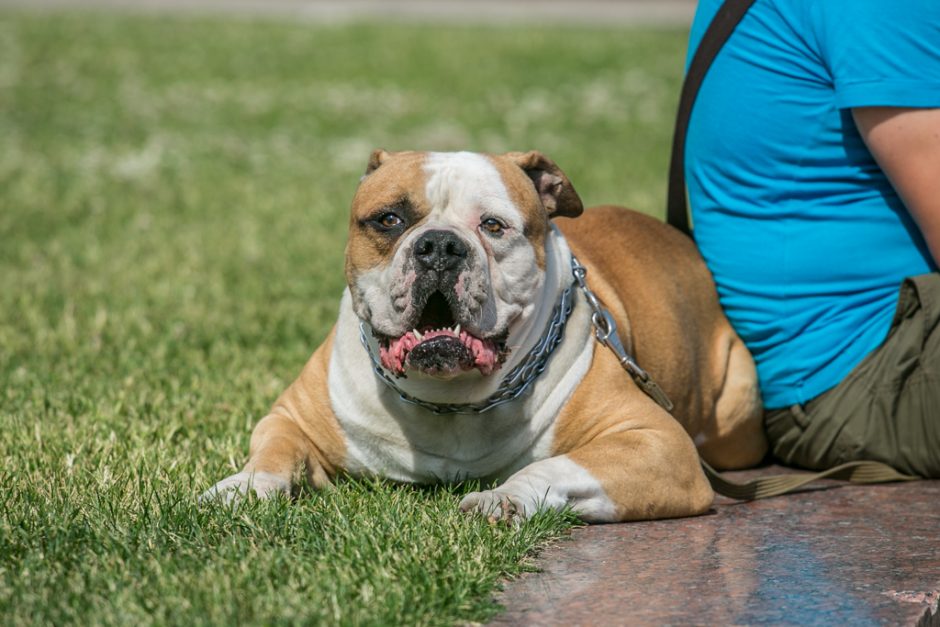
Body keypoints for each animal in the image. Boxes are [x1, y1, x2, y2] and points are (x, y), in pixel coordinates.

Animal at [202, 150, 768, 524]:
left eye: (493, 226)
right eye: (389, 219)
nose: (439, 245)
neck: (448, 400)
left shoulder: (659, 445)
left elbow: (558, 465)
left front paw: (504, 497)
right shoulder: (290, 418)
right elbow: (275, 452)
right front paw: (243, 486)